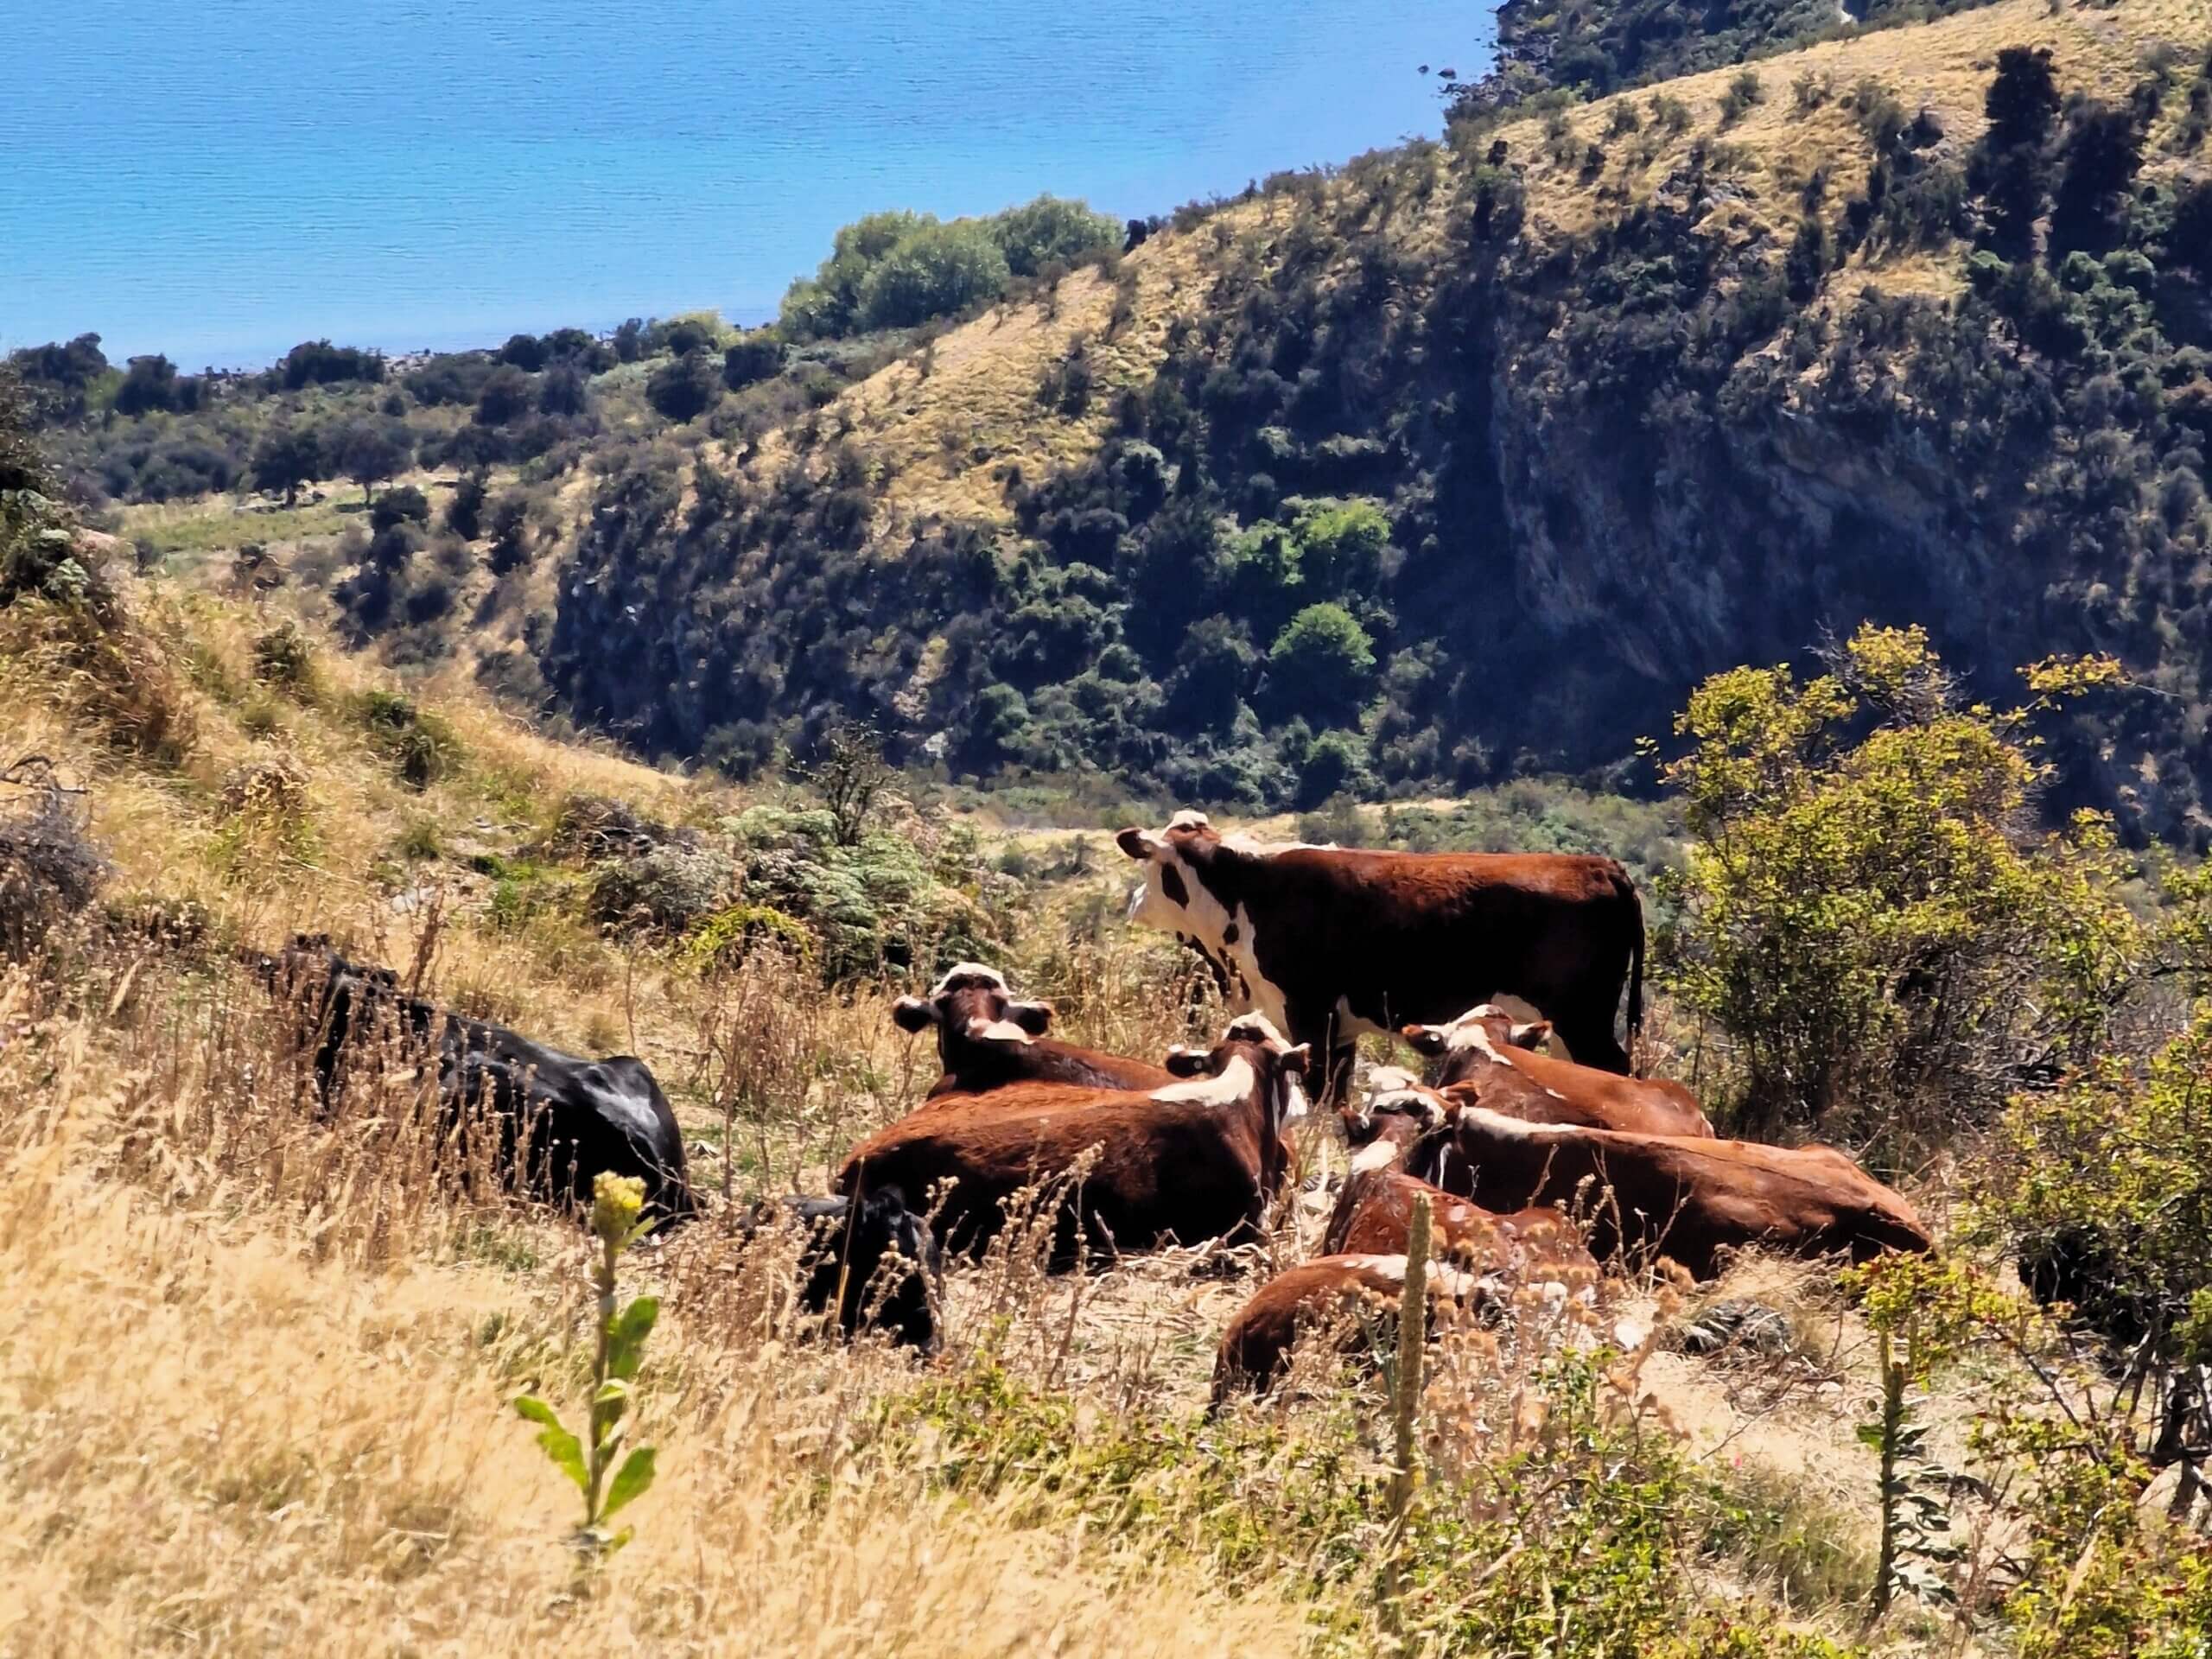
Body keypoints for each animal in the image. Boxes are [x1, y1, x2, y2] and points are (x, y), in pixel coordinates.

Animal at [1123, 814, 1645, 1096]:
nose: (1134, 902)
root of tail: (1600, 865)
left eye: (1149, 866)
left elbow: (1318, 1085)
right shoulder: (1339, 1025)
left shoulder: (1311, 1011)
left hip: (1584, 1017)